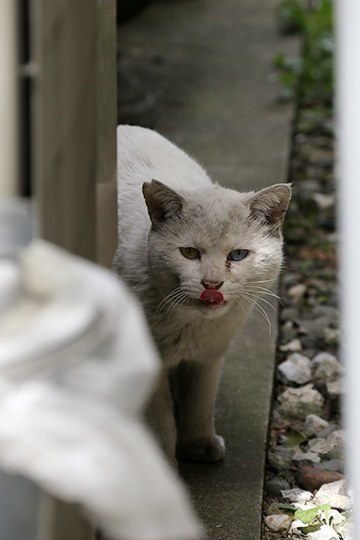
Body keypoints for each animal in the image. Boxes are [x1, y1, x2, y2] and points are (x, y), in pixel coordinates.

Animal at [114, 125, 292, 464]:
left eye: (238, 255)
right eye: (189, 253)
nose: (212, 284)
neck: (191, 325)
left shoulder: (210, 355)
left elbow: (201, 400)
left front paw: (199, 443)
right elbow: (159, 422)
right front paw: (166, 464)